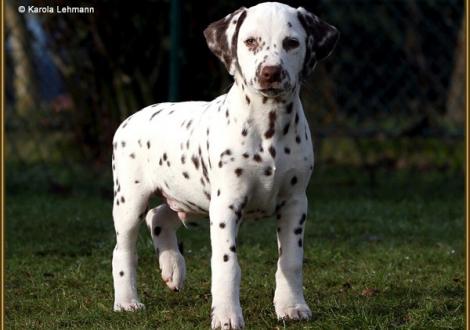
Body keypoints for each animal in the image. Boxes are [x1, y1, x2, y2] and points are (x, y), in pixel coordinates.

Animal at [110, 1, 338, 328]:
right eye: (250, 41)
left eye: (292, 43)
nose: (271, 72)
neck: (268, 128)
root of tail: (130, 118)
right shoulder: (227, 205)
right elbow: (227, 265)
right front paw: (227, 315)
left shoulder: (295, 204)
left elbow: (291, 261)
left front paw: (292, 306)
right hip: (131, 201)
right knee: (123, 250)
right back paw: (127, 301)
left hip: (192, 200)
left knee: (159, 216)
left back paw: (172, 267)